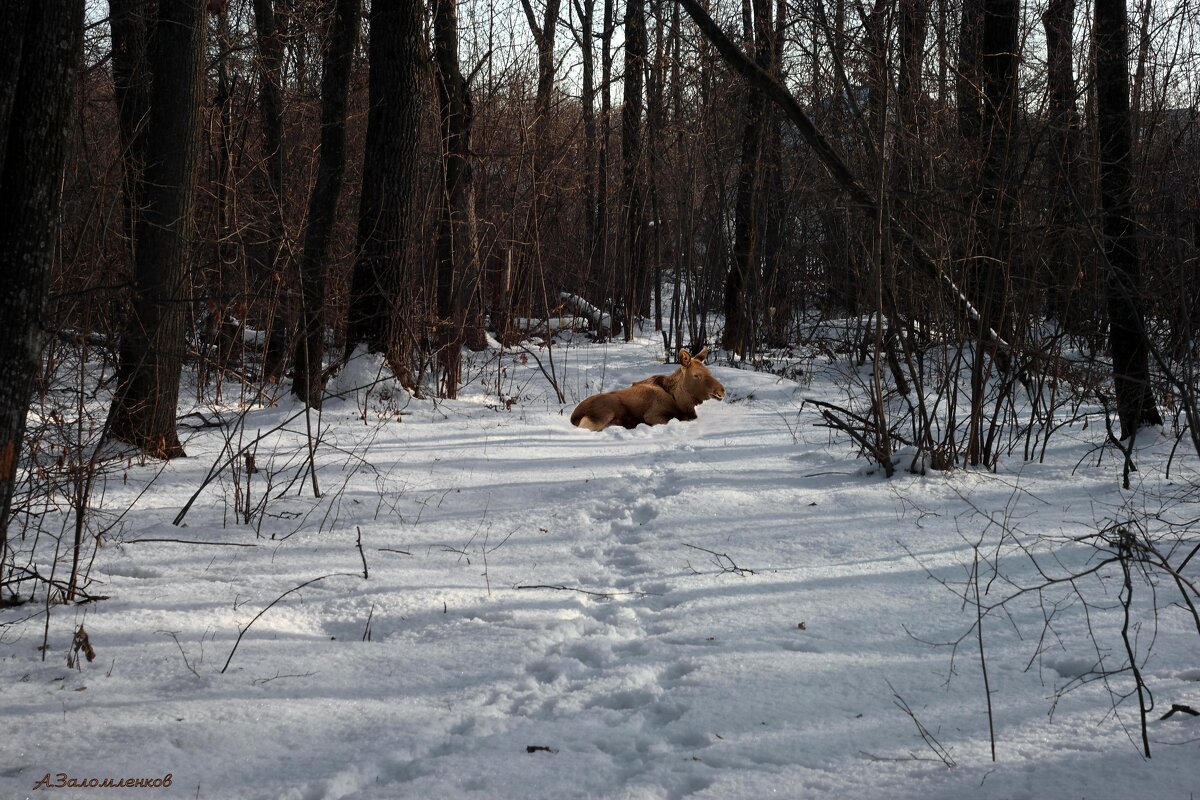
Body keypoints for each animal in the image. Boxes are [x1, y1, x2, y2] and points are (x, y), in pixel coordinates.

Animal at [568, 345, 724, 431]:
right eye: (696, 375)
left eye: (709, 371)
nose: (721, 390)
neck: (681, 402)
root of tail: (573, 416)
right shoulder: (652, 415)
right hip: (603, 412)